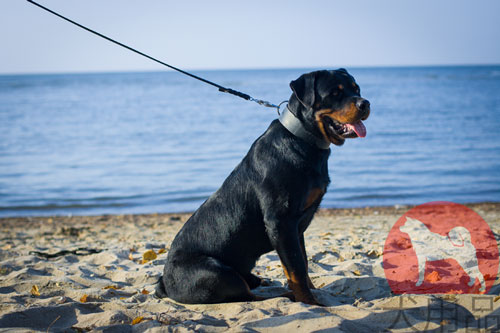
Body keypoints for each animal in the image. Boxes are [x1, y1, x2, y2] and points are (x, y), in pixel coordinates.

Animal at [156, 68, 372, 304]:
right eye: (334, 93)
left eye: (357, 89)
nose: (365, 103)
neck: (302, 138)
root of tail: (165, 284)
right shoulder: (281, 222)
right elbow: (296, 269)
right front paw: (309, 302)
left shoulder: (296, 227)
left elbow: (303, 262)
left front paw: (312, 291)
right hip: (215, 272)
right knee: (246, 295)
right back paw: (282, 294)